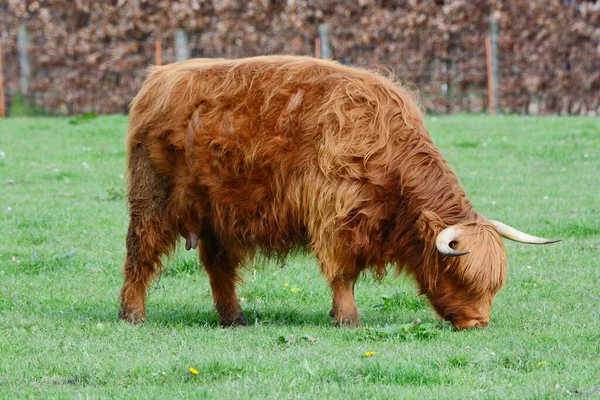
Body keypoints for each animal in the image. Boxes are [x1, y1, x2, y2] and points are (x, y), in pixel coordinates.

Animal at [119, 57, 560, 332]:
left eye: (494, 284)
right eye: (460, 275)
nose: (478, 323)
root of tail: (159, 78)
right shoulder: (336, 217)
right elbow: (343, 273)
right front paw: (347, 317)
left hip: (218, 213)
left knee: (218, 265)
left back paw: (234, 317)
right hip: (152, 201)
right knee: (140, 255)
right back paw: (132, 313)